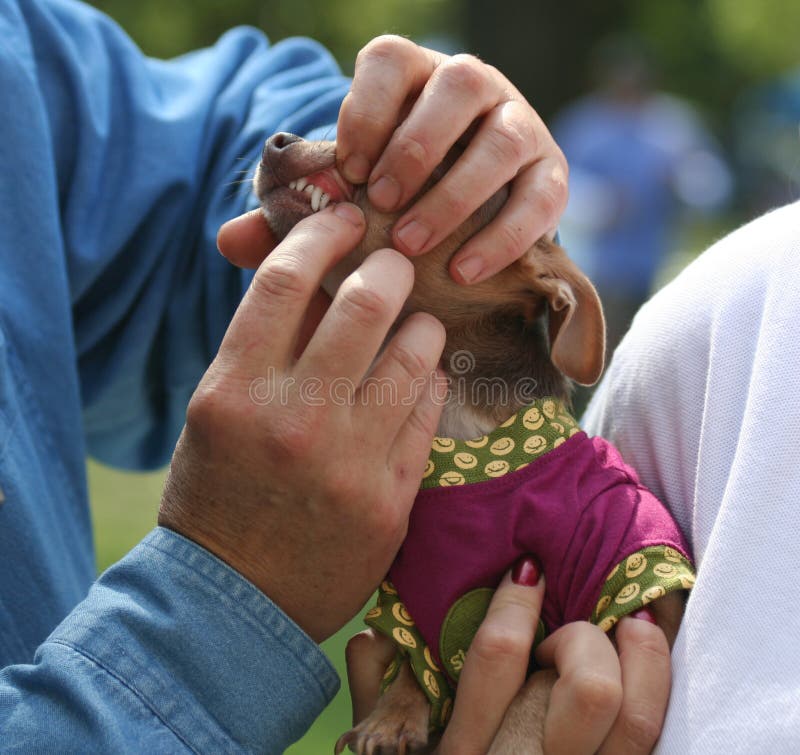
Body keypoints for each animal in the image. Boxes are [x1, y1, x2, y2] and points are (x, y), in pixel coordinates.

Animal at [253, 133, 692, 752]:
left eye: (439, 160)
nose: (278, 141)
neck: (458, 437)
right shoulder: (410, 606)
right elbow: (417, 666)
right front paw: (392, 716)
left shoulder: (638, 597)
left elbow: (543, 676)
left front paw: (510, 737)